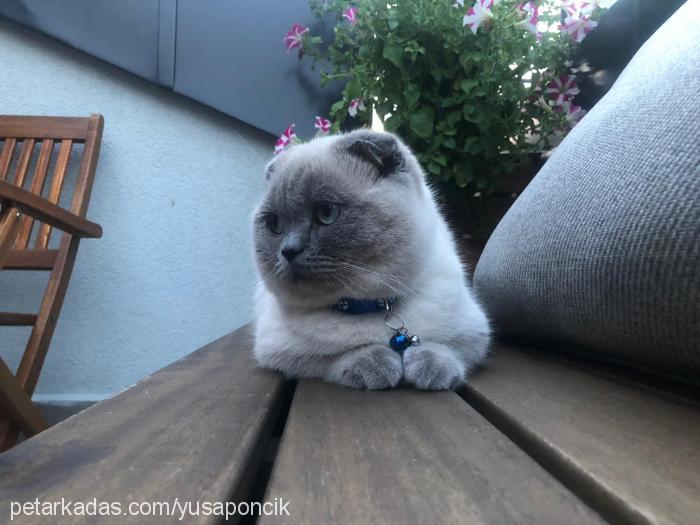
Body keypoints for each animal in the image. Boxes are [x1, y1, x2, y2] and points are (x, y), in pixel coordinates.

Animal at [253, 127, 492, 388]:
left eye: (326, 213)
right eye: (275, 224)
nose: (288, 251)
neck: (374, 304)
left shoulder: (476, 334)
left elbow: (444, 347)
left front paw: (431, 369)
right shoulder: (278, 351)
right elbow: (334, 357)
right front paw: (376, 364)